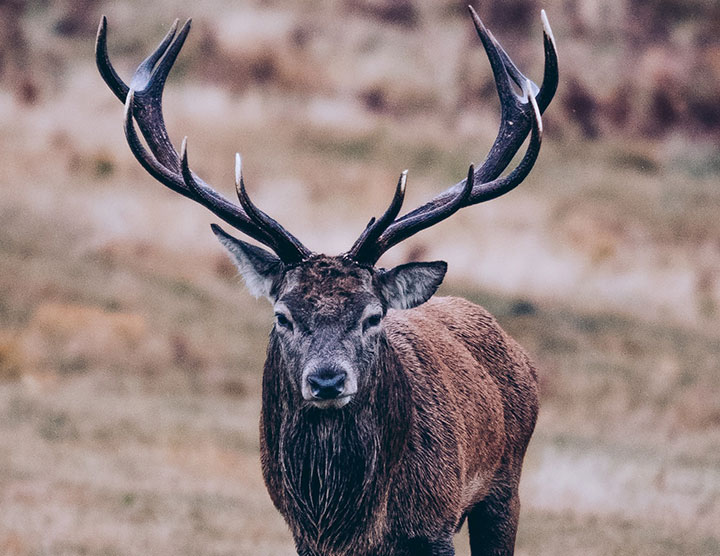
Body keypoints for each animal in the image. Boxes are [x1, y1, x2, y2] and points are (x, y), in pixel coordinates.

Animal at [95, 5, 556, 556]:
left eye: (373, 316)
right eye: (283, 315)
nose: (327, 380)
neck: (348, 523)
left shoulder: (434, 522)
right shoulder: (302, 534)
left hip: (505, 486)